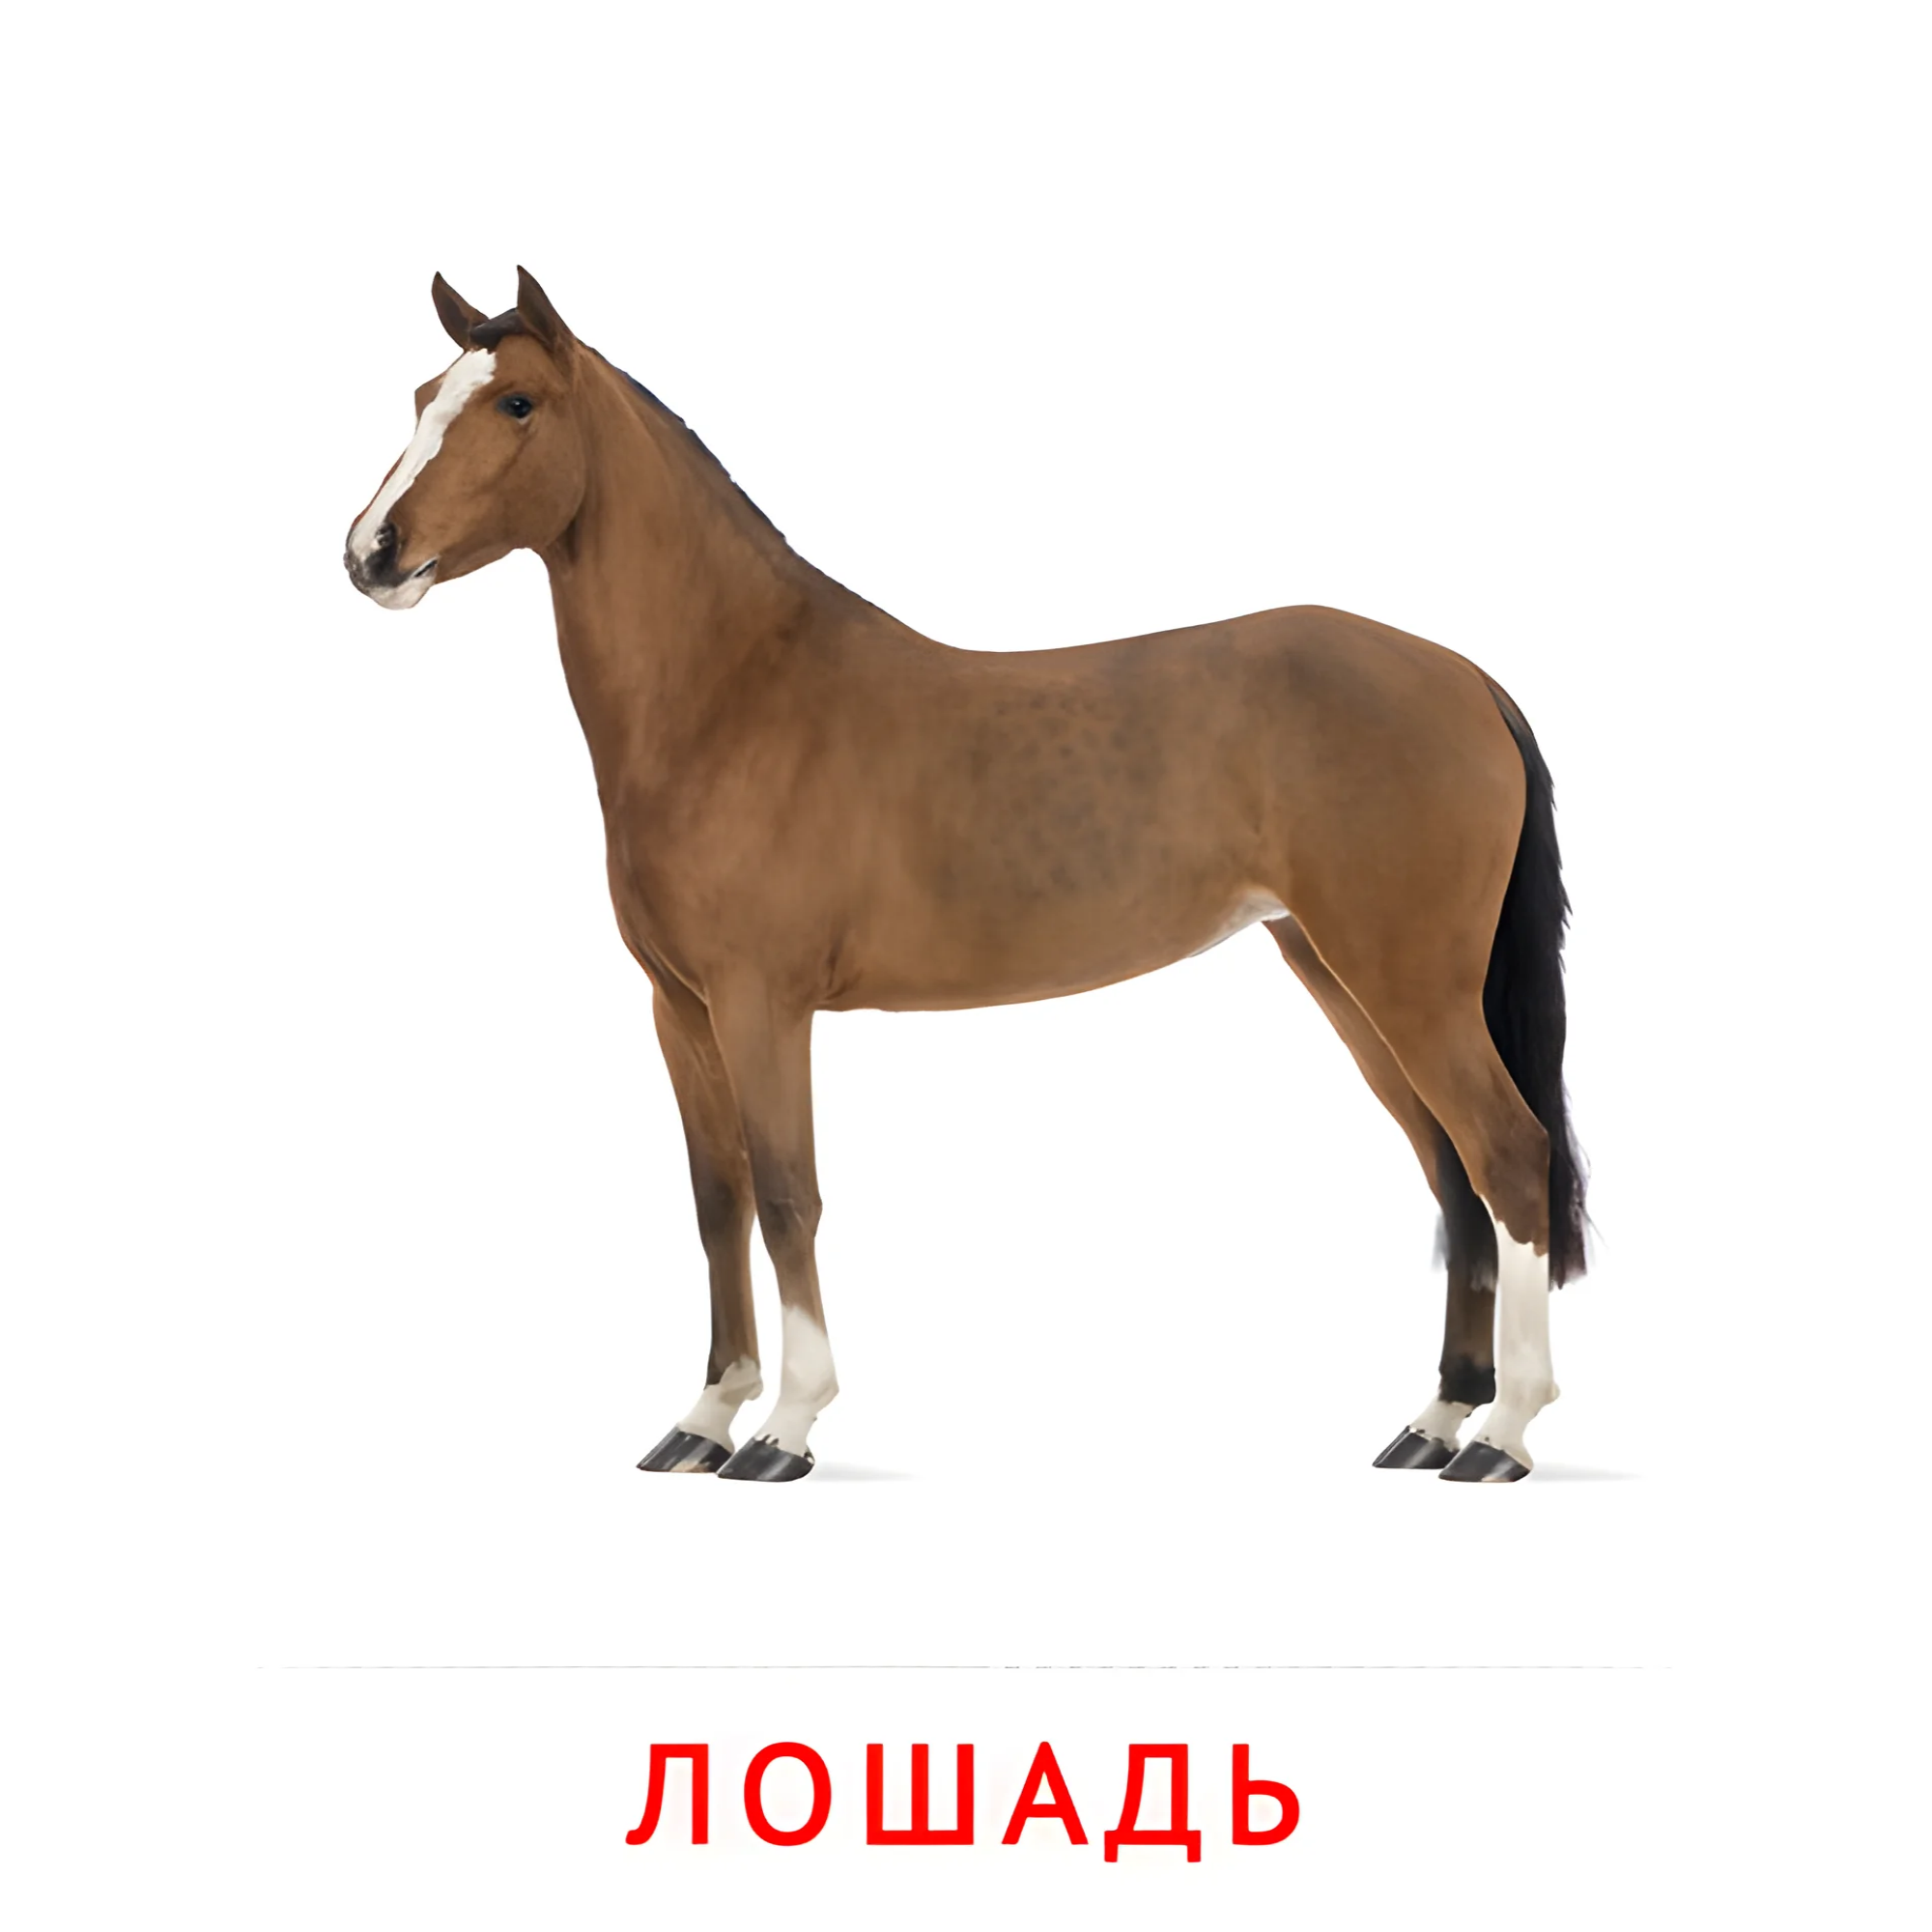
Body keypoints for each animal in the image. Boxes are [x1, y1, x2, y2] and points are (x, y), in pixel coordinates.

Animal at [344, 268, 1588, 1485]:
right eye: (419, 396)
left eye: (516, 404)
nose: (371, 551)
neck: (733, 691)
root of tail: (1463, 677)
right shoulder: (678, 1006)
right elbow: (717, 1199)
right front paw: (703, 1417)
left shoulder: (761, 1001)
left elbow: (787, 1194)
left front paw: (786, 1426)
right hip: (1341, 976)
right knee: (1451, 1176)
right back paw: (1433, 1420)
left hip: (1408, 986)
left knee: (1507, 1156)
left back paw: (1502, 1433)